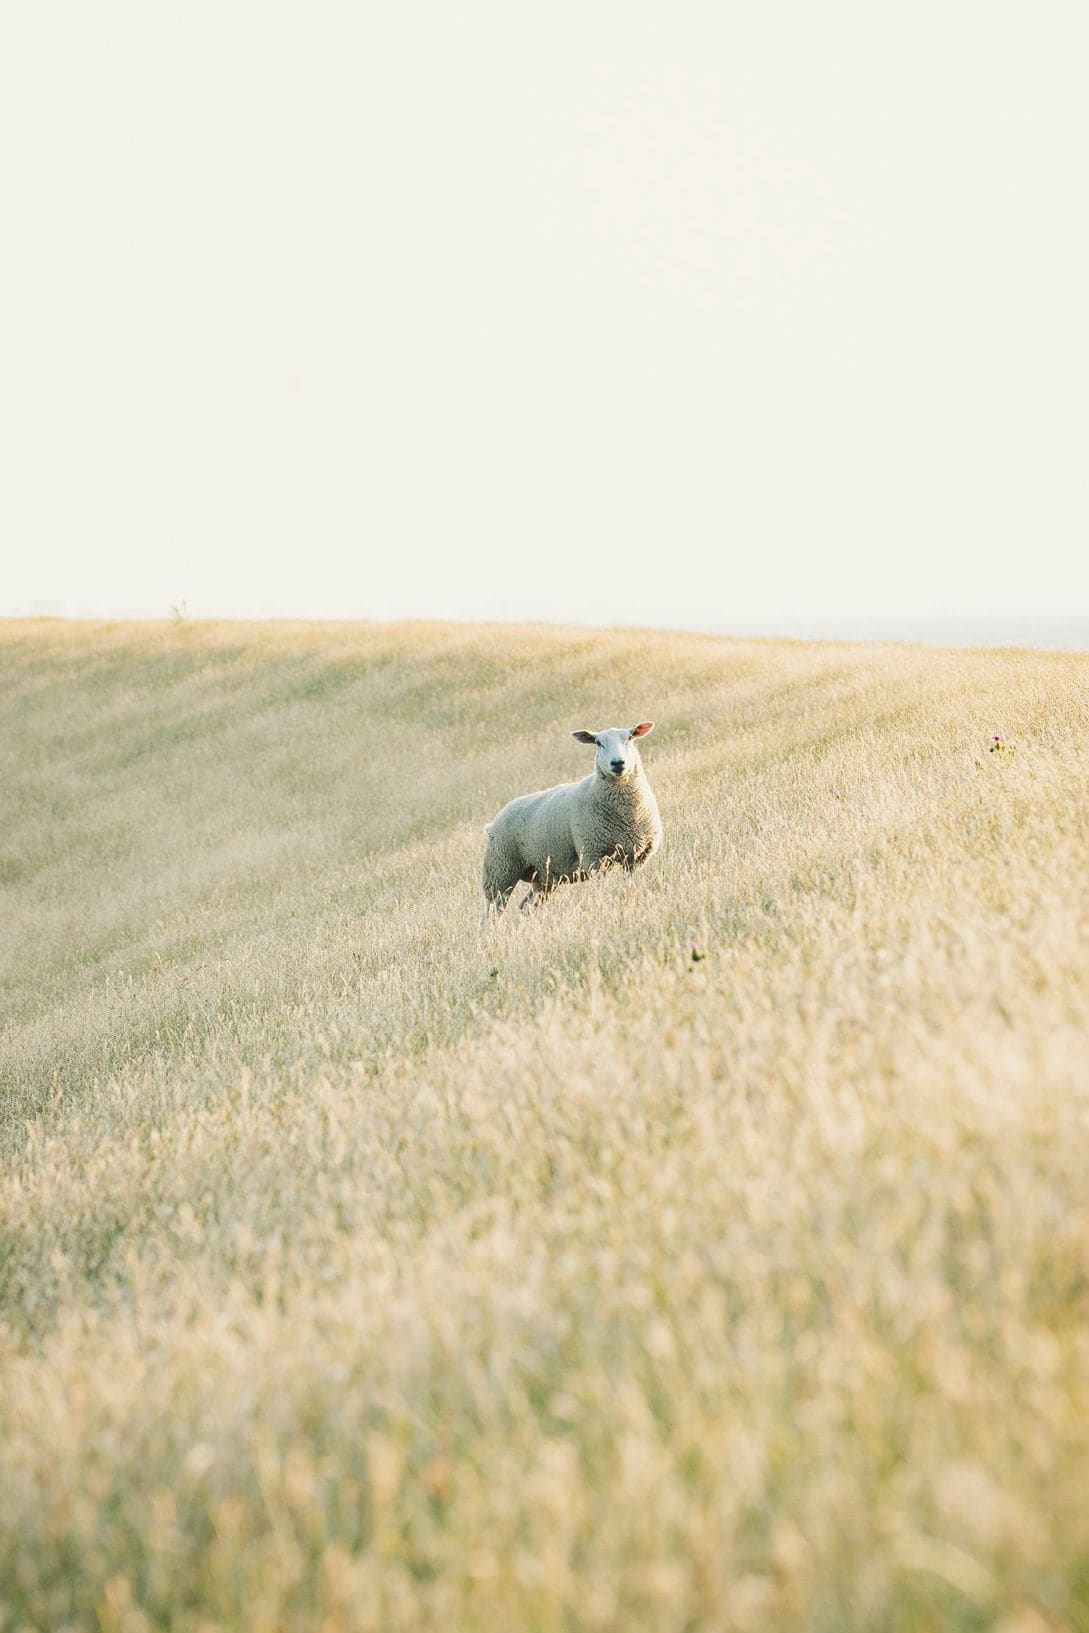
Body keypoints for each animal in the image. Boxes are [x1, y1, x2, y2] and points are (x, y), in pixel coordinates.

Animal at [481, 722, 662, 916]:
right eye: (598, 743)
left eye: (629, 738)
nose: (617, 763)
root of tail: (491, 824)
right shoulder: (595, 858)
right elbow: (604, 891)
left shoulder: (636, 857)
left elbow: (629, 886)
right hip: (500, 872)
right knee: (492, 912)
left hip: (542, 876)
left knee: (525, 905)